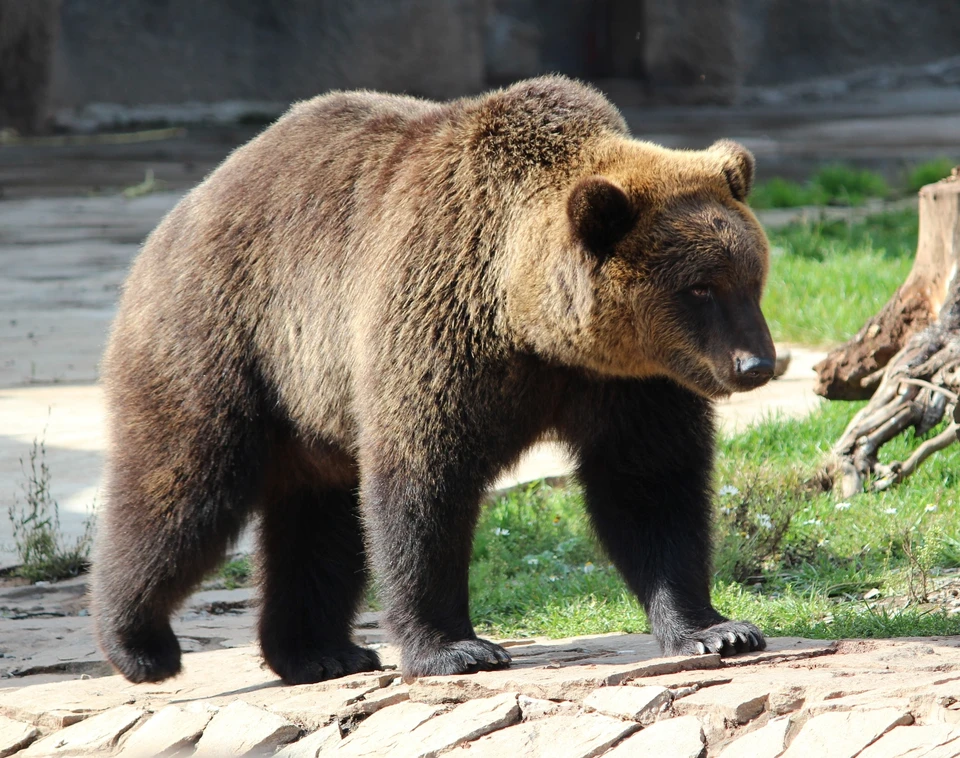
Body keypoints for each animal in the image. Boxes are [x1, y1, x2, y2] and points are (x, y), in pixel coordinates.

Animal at [94, 74, 776, 684]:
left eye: (752, 278)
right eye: (700, 288)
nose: (758, 364)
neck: (530, 323)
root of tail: (185, 207)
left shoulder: (631, 380)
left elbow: (651, 485)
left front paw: (716, 629)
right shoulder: (440, 328)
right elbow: (425, 487)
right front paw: (455, 647)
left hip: (313, 408)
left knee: (319, 522)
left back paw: (319, 652)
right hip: (229, 341)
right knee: (185, 490)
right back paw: (138, 644)